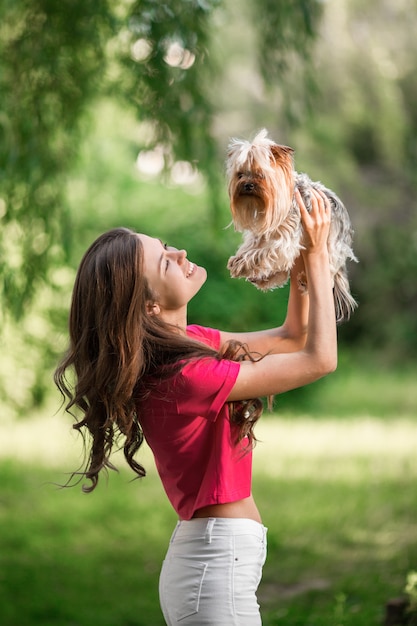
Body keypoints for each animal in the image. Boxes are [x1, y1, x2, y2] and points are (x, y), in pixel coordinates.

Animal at [224, 127, 358, 322]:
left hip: (332, 248)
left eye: (261, 175)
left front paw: (242, 264)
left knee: (328, 274)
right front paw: (239, 258)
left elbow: (265, 252)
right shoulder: (265, 230)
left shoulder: (287, 237)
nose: (247, 185)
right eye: (240, 175)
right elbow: (255, 245)